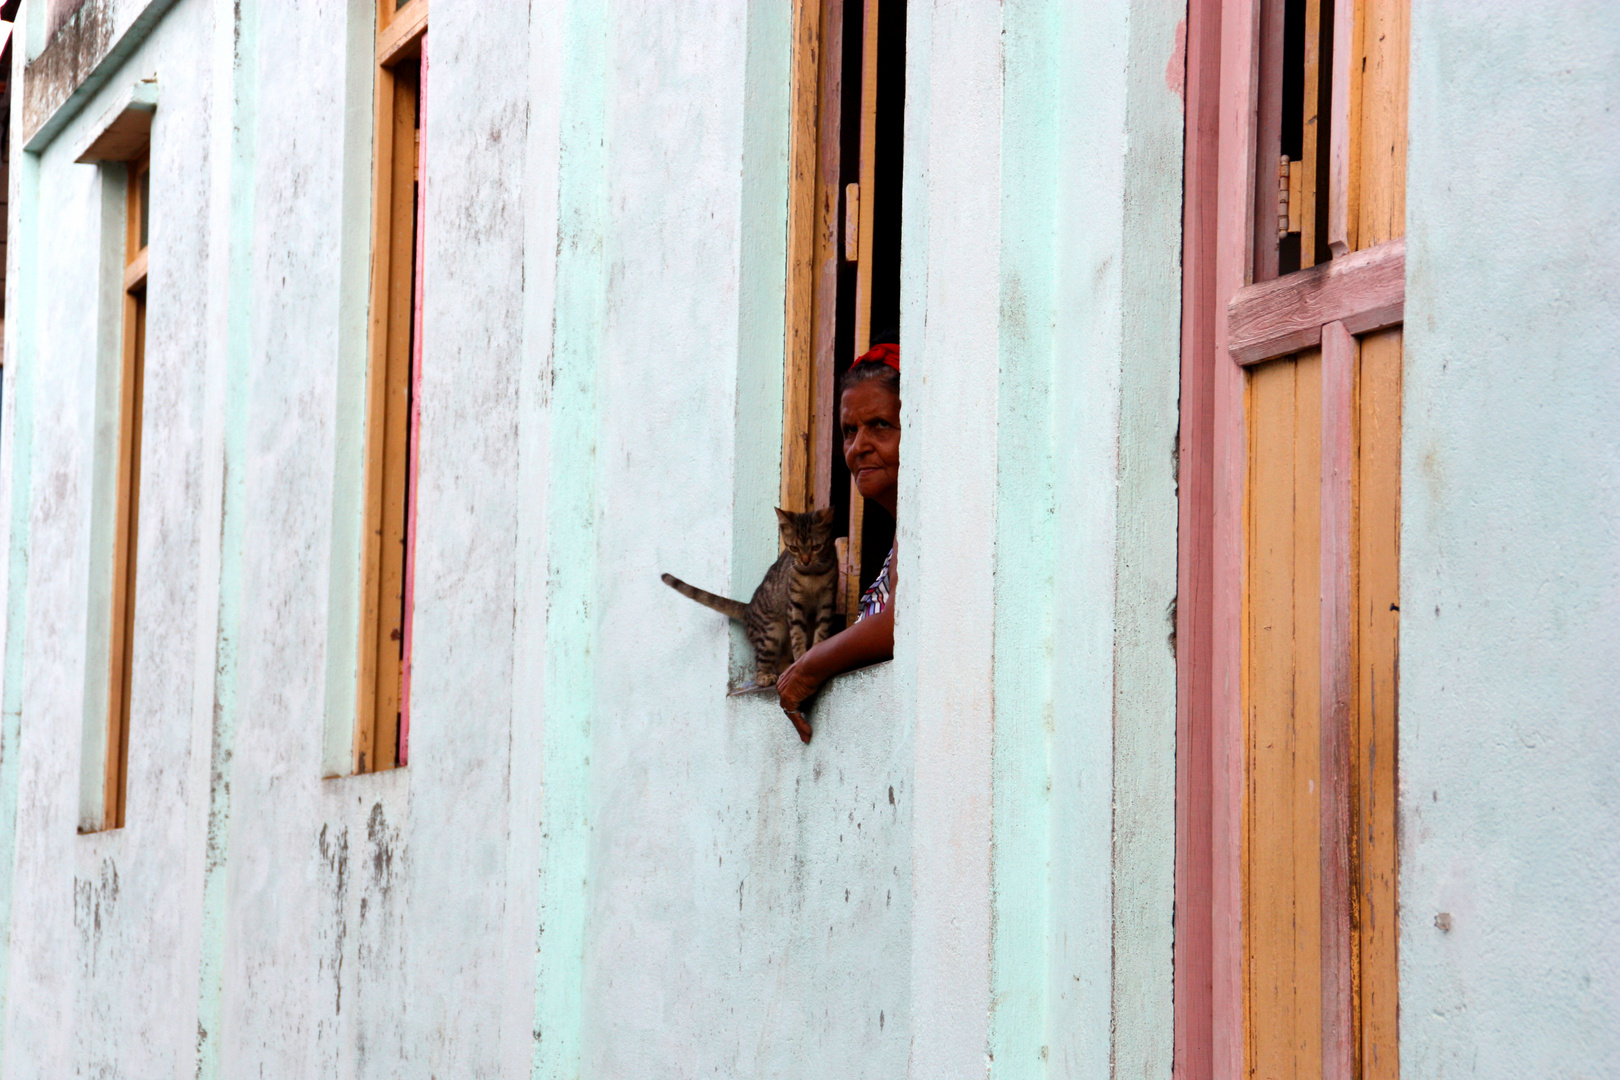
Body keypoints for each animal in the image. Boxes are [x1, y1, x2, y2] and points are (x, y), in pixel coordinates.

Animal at [657, 508, 835, 683]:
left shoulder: (826, 599)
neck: (811, 575)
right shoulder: (795, 603)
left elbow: (822, 629)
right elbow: (797, 636)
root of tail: (748, 608)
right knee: (762, 665)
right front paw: (801, 658)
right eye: (794, 548)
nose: (805, 561)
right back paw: (766, 676)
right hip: (771, 632)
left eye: (817, 547)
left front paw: (816, 652)